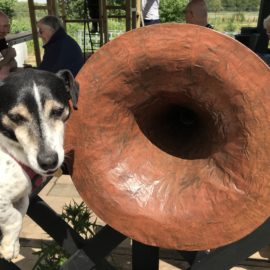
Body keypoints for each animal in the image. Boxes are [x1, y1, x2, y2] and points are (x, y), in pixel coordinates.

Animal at [0, 68, 79, 260]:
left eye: (58, 110)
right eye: (15, 117)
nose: (49, 161)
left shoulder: (22, 197)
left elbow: (19, 214)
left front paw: (13, 245)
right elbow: (14, 217)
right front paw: (8, 247)